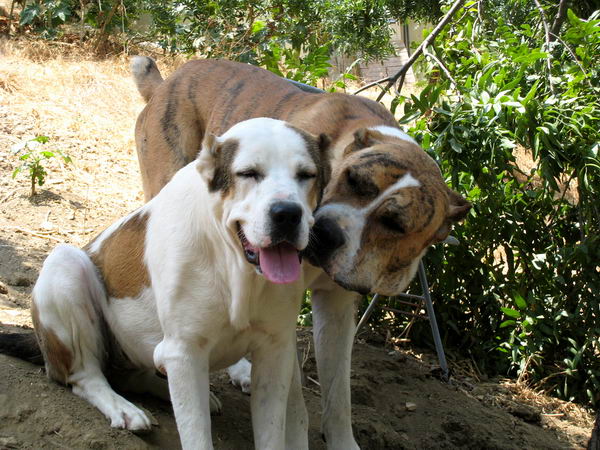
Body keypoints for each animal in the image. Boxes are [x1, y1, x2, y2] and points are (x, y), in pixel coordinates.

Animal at [29, 118, 328, 448]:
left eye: (306, 175)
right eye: (249, 173)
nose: (287, 213)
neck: (234, 264)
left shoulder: (274, 352)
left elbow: (272, 433)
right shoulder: (184, 351)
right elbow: (197, 436)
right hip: (65, 264)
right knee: (85, 376)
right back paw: (122, 408)